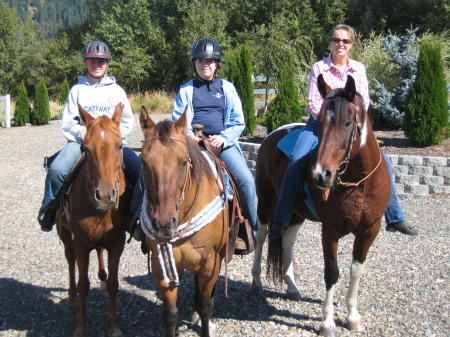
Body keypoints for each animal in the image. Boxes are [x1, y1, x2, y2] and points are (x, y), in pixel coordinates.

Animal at [55, 103, 133, 336]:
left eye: (119, 146)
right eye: (87, 148)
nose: (106, 195)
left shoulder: (116, 241)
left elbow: (114, 284)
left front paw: (113, 326)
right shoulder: (80, 242)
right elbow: (83, 285)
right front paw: (80, 327)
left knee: (99, 252)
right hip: (64, 233)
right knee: (70, 259)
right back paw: (70, 299)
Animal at [138, 105, 229, 336]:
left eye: (183, 162)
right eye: (144, 162)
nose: (163, 224)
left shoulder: (210, 262)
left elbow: (205, 305)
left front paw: (206, 321)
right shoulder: (163, 265)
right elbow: (170, 314)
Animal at [251, 75, 392, 334]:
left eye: (347, 123)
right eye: (319, 124)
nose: (320, 175)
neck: (359, 184)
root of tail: (271, 135)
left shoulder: (370, 229)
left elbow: (356, 270)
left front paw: (353, 317)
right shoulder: (330, 229)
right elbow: (332, 272)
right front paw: (327, 322)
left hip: (296, 213)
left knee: (287, 241)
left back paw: (292, 287)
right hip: (266, 203)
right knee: (262, 236)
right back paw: (256, 281)